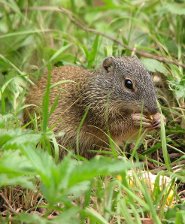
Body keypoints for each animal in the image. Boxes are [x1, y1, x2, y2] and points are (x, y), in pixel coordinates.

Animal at [24, 56, 163, 158]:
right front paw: (136, 119)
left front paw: (160, 118)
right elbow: (116, 127)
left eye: (150, 79)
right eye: (128, 83)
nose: (154, 109)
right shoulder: (96, 113)